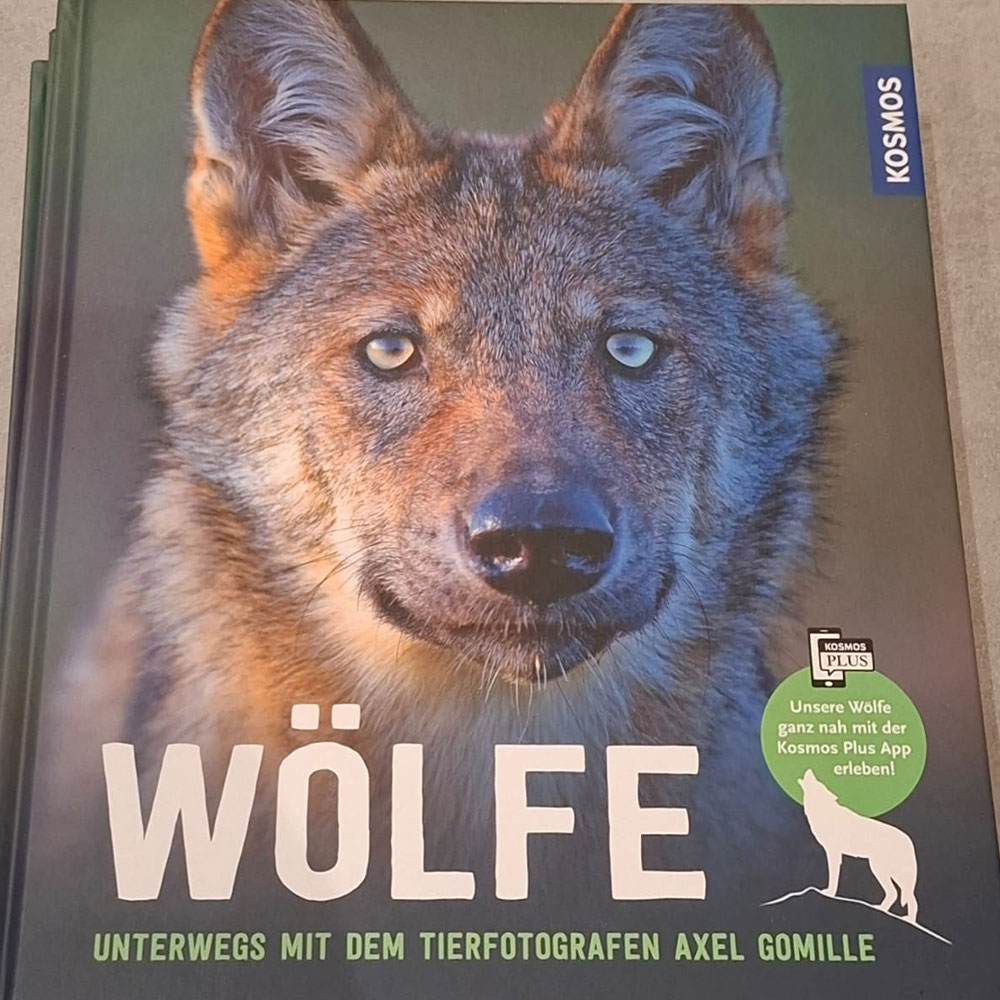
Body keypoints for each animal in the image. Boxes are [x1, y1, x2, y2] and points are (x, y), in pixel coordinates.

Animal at [799, 769, 919, 922]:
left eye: (817, 782)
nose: (809, 770)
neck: (825, 813)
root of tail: (908, 839)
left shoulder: (833, 852)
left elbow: (833, 877)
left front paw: (829, 893)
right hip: (882, 871)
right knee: (897, 894)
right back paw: (885, 910)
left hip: (886, 872)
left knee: (908, 897)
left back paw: (907, 920)